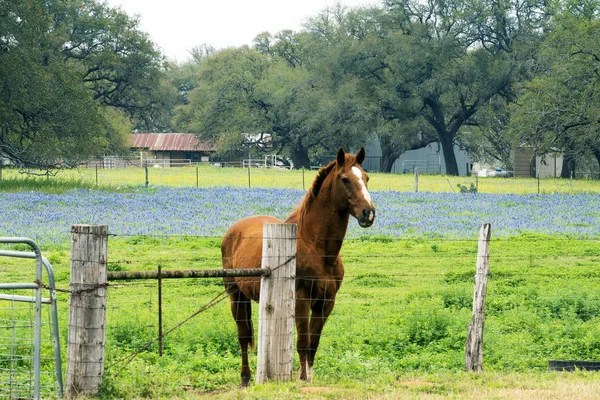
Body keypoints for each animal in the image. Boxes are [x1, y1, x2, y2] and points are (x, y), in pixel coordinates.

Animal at [223, 148, 378, 388]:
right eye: (345, 179)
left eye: (366, 177)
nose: (368, 213)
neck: (316, 247)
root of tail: (235, 230)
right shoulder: (302, 299)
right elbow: (303, 341)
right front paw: (302, 379)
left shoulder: (326, 303)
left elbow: (314, 342)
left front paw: (309, 378)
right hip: (236, 296)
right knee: (243, 336)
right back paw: (245, 378)